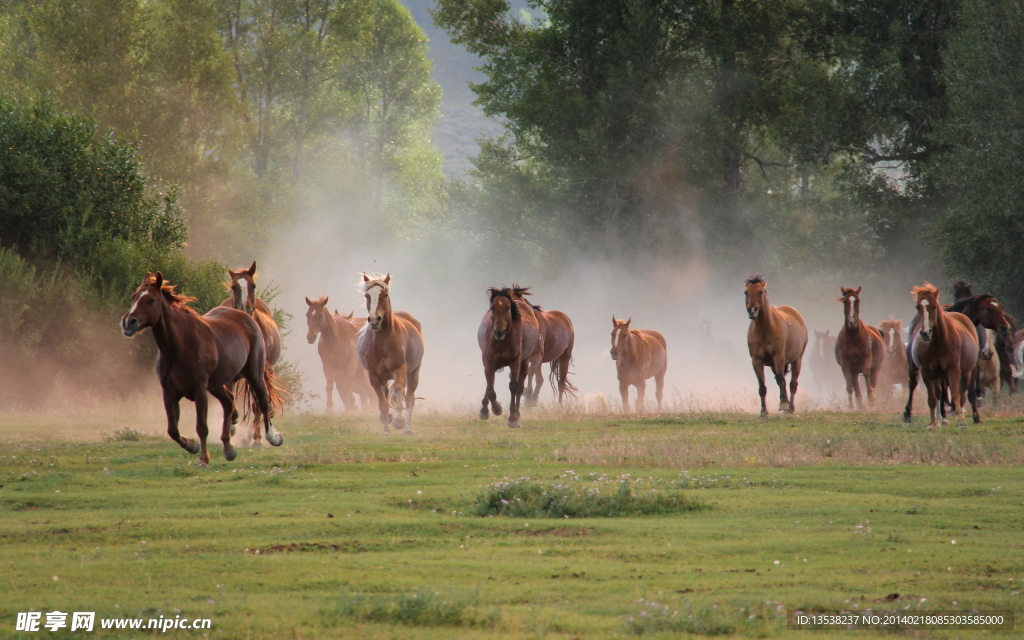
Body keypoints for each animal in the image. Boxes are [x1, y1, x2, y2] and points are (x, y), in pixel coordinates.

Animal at [121, 270, 282, 464]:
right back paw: (228, 447)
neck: (181, 346)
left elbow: (202, 427)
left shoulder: (200, 390)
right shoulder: (169, 393)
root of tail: (246, 317)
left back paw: (271, 437)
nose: (129, 322)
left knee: (262, 401)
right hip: (218, 384)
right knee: (229, 402)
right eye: (134, 297)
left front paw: (203, 459)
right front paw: (192, 445)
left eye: (151, 300)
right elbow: (172, 430)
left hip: (254, 374)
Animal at [360, 272, 423, 436]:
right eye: (367, 295)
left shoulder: (400, 368)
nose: (374, 320)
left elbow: (400, 390)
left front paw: (399, 420)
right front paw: (386, 429)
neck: (383, 341)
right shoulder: (374, 376)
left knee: (409, 398)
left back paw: (408, 429)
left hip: (414, 372)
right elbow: (382, 403)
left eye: (385, 294)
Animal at [479, 282, 544, 423]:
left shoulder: (515, 361)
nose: (499, 332)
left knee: (520, 386)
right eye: (492, 307)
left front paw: (513, 417)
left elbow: (514, 386)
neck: (501, 341)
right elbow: (490, 387)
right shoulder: (488, 361)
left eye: (508, 307)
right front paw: (494, 409)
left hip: (524, 363)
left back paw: (517, 412)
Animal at [745, 270, 806, 417]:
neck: (765, 330)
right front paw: (763, 413)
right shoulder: (756, 360)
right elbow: (762, 386)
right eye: (745, 292)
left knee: (792, 384)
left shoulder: (778, 356)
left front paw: (783, 404)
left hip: (797, 360)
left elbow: (780, 379)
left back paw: (790, 409)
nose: (752, 310)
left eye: (760, 292)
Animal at [909, 282, 978, 423]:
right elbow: (932, 398)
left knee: (964, 393)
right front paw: (934, 424)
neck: (938, 343)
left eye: (934, 306)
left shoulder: (953, 369)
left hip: (969, 369)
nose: (925, 333)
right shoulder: (927, 371)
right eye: (918, 307)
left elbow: (956, 394)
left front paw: (960, 420)